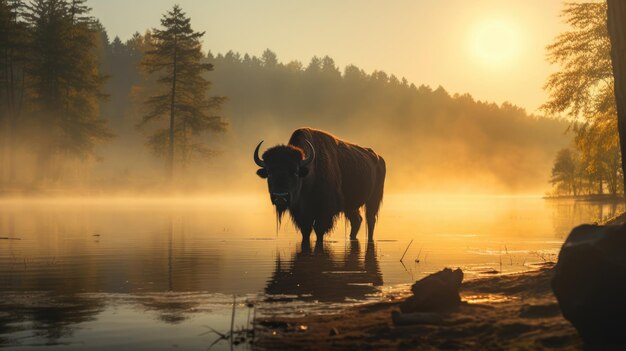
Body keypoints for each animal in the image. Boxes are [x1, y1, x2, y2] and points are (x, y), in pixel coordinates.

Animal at [251, 129, 382, 242]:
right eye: (269, 172)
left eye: (295, 172)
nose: (280, 196)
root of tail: (377, 157)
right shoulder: (301, 213)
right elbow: (306, 231)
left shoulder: (325, 211)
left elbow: (319, 230)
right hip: (350, 206)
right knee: (357, 221)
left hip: (373, 200)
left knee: (370, 220)